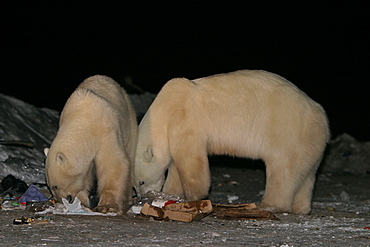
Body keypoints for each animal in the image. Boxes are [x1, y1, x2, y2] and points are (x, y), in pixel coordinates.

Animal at [44, 75, 137, 214]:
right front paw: (82, 200)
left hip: (130, 123)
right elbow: (84, 176)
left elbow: (113, 163)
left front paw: (106, 206)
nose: (60, 200)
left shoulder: (106, 130)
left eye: (55, 186)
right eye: (49, 186)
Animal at [134, 69, 330, 214]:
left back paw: (269, 204)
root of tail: (322, 118)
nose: (141, 197)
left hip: (287, 132)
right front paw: (170, 193)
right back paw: (301, 208)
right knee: (306, 174)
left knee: (283, 170)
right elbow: (176, 164)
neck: (164, 110)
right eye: (135, 185)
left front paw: (192, 196)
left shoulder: (185, 118)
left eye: (141, 182)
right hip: (309, 142)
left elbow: (190, 161)